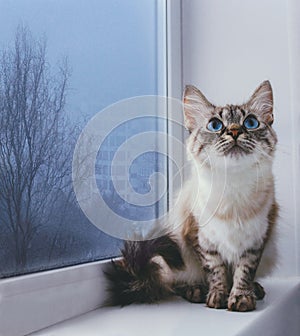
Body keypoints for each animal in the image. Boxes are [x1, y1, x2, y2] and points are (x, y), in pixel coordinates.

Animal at [104, 80, 278, 312]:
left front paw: (241, 298)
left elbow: (243, 273)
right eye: (215, 125)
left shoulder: (256, 241)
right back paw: (196, 291)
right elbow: (216, 271)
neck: (233, 186)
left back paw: (256, 290)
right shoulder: (200, 239)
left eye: (250, 122)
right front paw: (217, 298)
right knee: (173, 283)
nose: (234, 131)